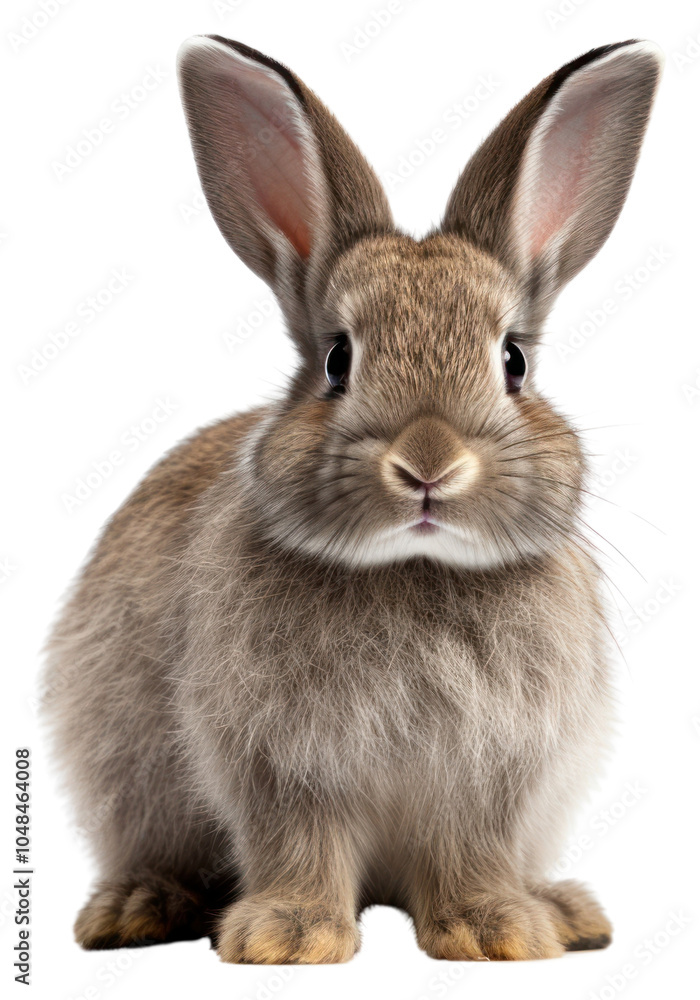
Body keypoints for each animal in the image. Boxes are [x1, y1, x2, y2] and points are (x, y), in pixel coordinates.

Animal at [42, 36, 662, 963]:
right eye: (338, 360)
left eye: (513, 361)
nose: (429, 465)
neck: (412, 566)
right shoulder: (278, 764)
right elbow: (298, 839)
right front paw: (289, 939)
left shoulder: (494, 773)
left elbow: (473, 849)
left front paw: (494, 931)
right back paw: (135, 908)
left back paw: (564, 909)